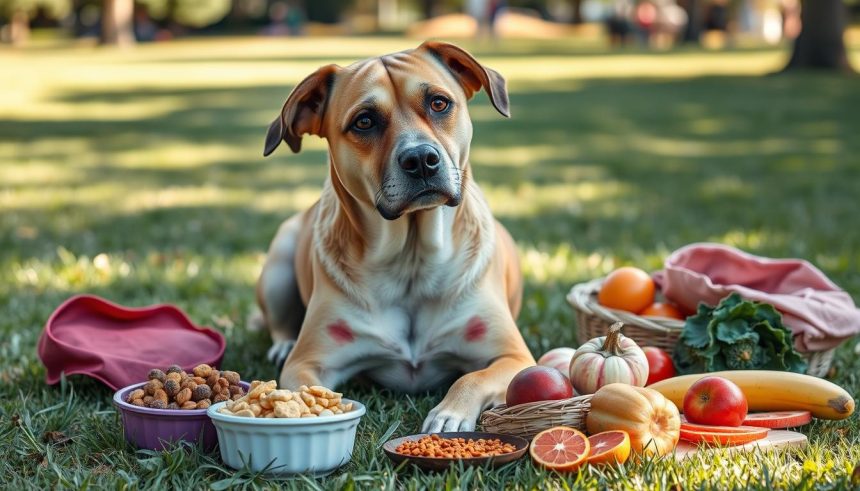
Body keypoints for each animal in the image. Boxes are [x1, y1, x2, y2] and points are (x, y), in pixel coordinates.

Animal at [258, 43, 536, 434]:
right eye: (364, 121)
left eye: (439, 103)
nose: (420, 158)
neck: (411, 259)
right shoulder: (308, 363)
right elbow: (308, 387)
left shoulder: (515, 356)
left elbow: (472, 378)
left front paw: (449, 415)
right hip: (279, 263)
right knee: (280, 325)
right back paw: (283, 344)